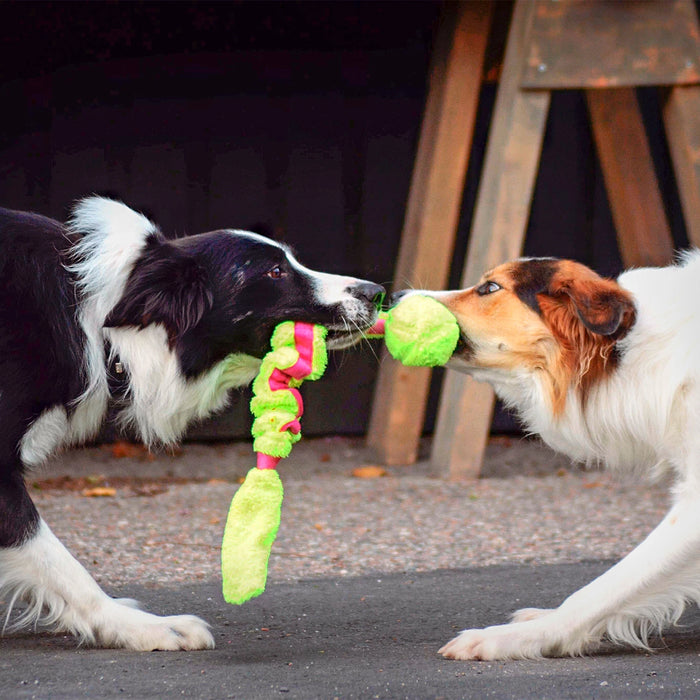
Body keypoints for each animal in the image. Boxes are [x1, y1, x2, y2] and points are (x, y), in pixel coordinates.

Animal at [404, 254, 700, 660]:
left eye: (489, 288)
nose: (396, 297)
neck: (632, 352)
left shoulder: (693, 509)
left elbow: (604, 588)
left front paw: (522, 637)